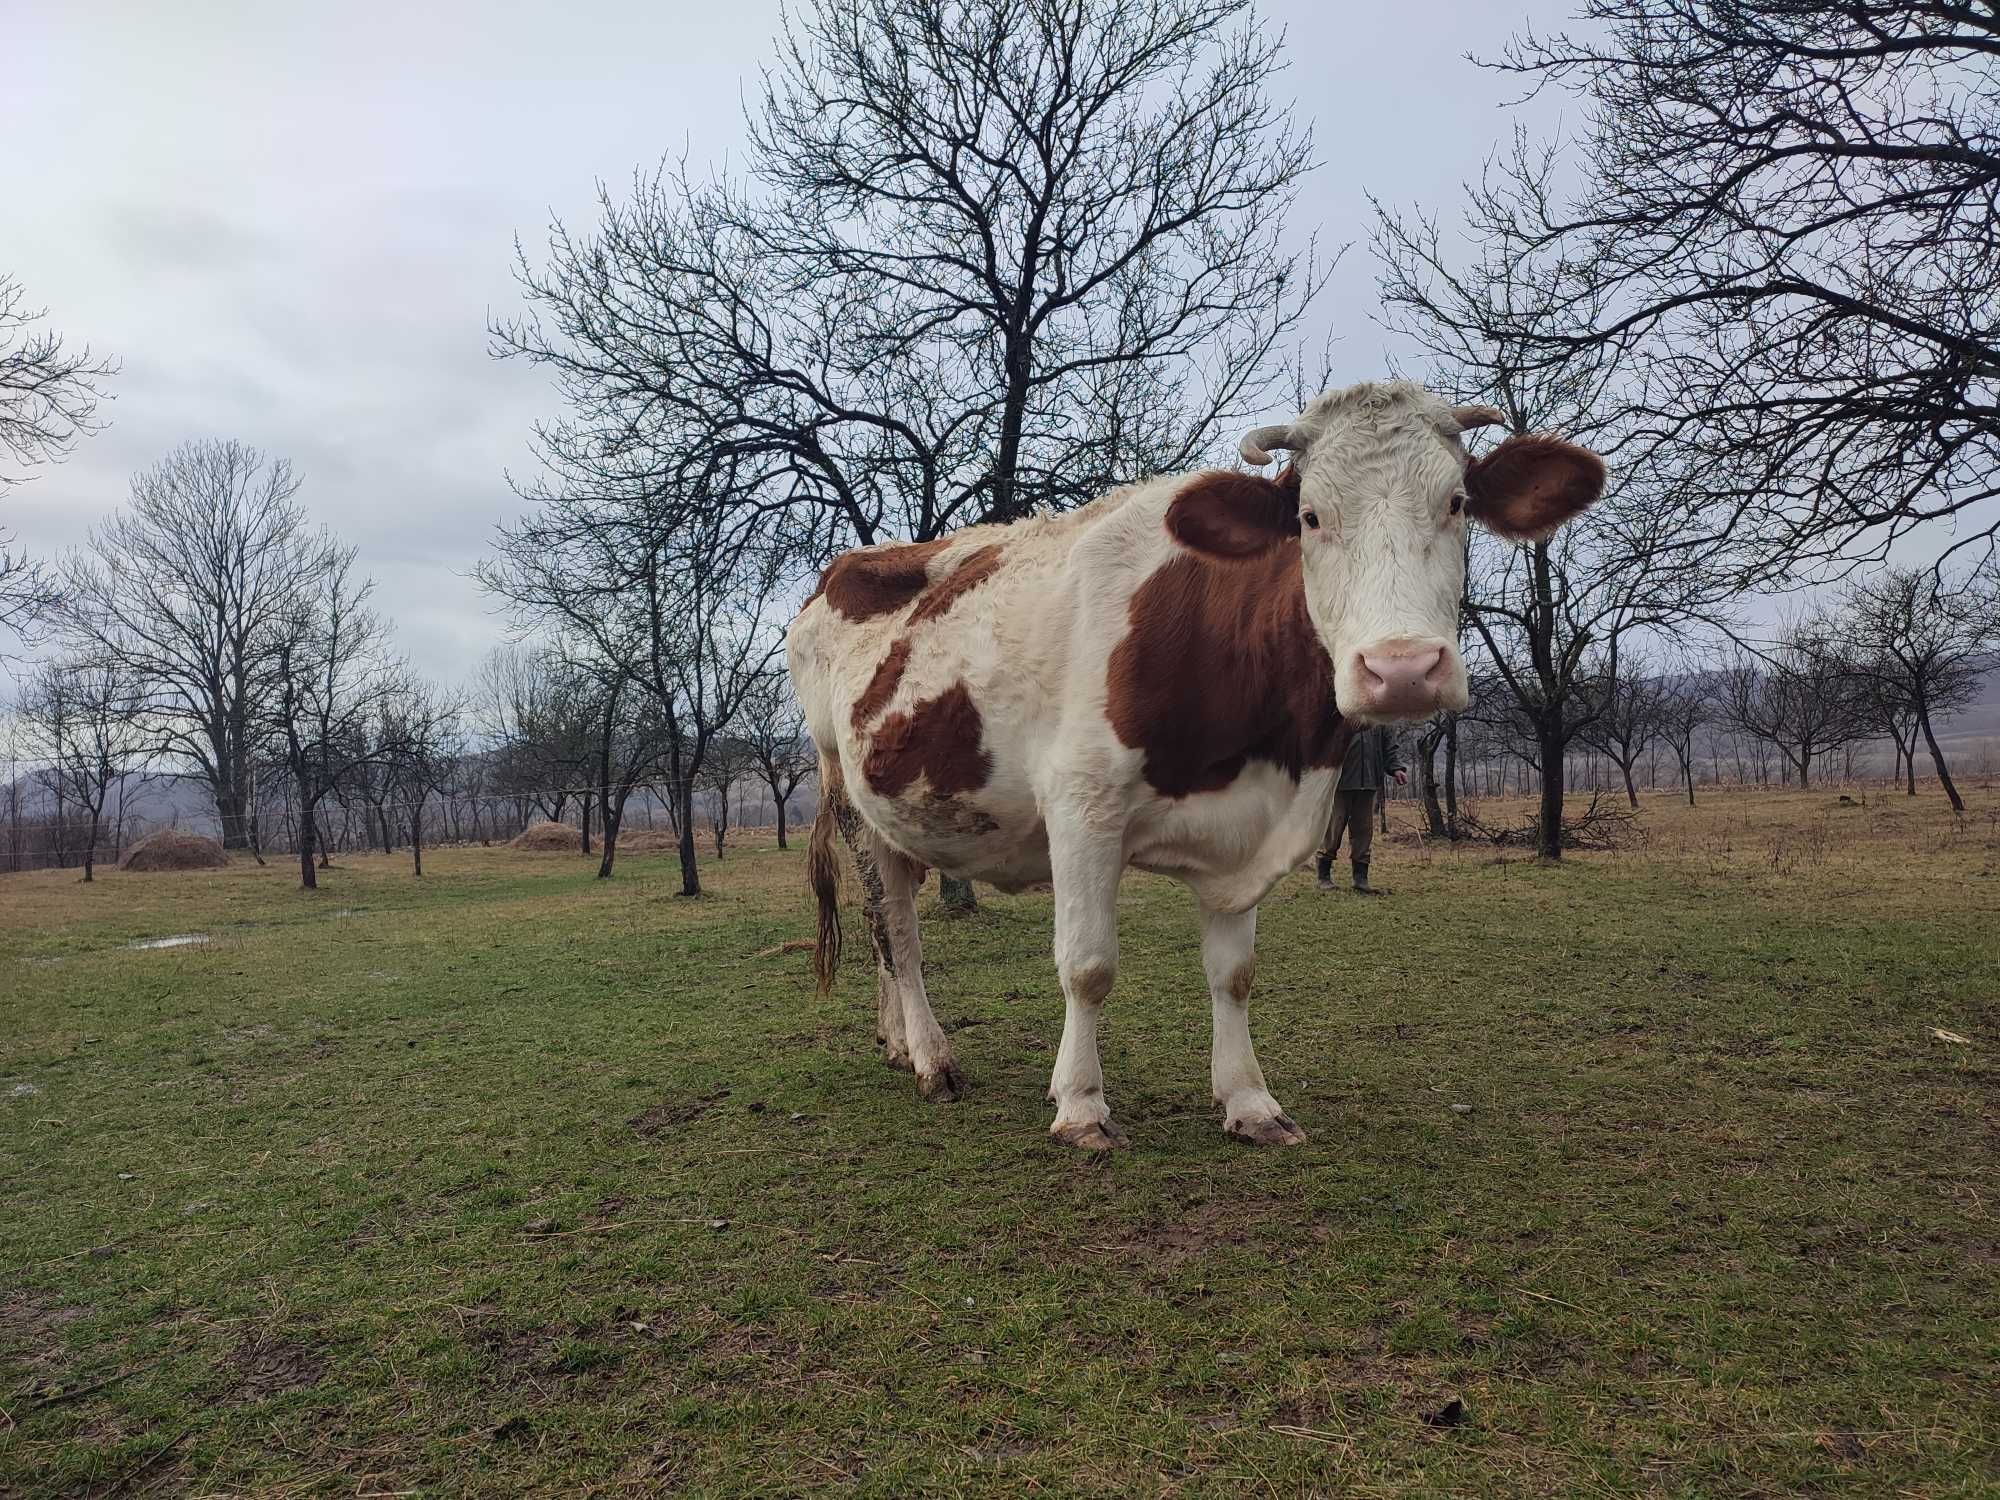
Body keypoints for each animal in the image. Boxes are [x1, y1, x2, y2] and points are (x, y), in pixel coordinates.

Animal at [788, 384, 1600, 1152]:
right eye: (1309, 517)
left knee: (885, 926)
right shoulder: (1082, 807)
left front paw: (1249, 1102)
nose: (1400, 669)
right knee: (896, 931)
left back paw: (897, 1042)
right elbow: (1087, 965)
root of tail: (845, 568)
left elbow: (1233, 974)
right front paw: (1080, 1106)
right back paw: (931, 1058)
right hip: (851, 798)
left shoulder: (1251, 824)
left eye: (1457, 502)